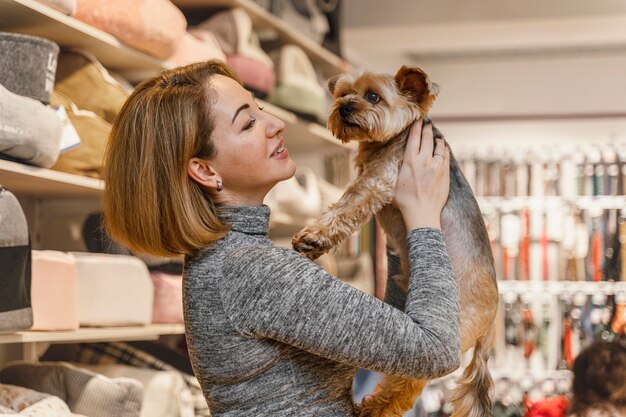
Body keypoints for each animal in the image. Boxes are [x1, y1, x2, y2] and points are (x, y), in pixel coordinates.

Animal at [292, 66, 498, 416]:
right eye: (342, 93)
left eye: (373, 96)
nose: (344, 108)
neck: (388, 140)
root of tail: (490, 322)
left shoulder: (376, 182)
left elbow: (345, 207)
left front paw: (314, 237)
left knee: (406, 386)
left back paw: (374, 408)